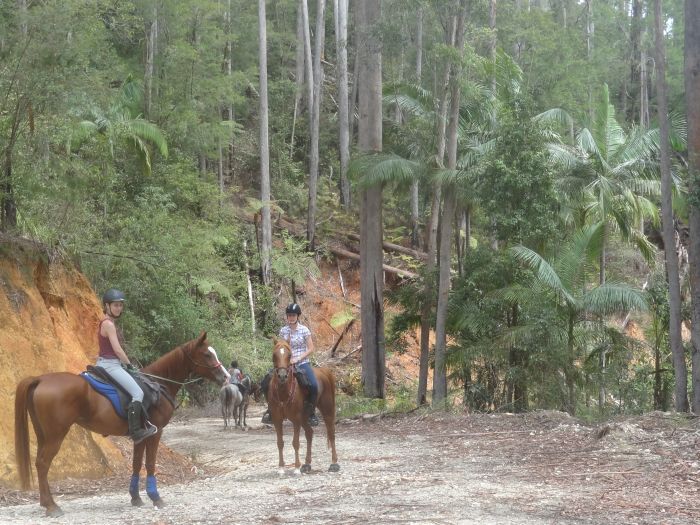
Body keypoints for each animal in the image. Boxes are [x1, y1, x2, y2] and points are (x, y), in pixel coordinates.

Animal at [15, 332, 230, 516]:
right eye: (207, 354)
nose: (226, 377)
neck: (159, 386)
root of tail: (40, 379)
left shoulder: (140, 435)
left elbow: (136, 464)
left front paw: (135, 498)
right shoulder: (156, 432)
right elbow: (150, 464)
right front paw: (155, 497)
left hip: (43, 434)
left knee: (39, 463)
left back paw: (46, 502)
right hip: (55, 435)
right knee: (43, 464)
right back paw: (51, 506)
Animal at [266, 338, 338, 472]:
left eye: (289, 355)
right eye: (274, 355)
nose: (282, 376)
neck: (283, 392)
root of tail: (324, 371)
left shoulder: (296, 419)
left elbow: (295, 442)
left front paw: (296, 468)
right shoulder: (277, 419)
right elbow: (280, 443)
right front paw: (281, 468)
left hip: (327, 409)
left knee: (331, 432)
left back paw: (334, 463)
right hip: (305, 417)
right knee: (309, 434)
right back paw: (307, 464)